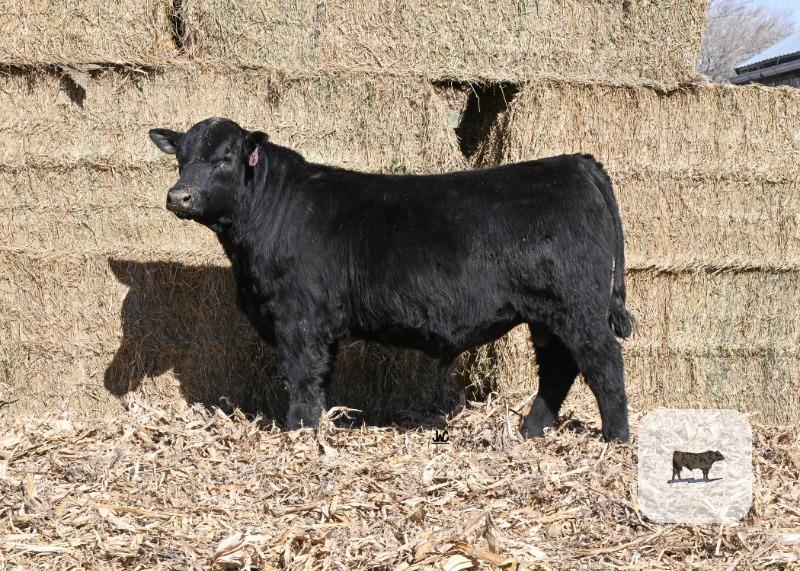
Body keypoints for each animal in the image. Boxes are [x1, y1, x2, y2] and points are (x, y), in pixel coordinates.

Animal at [148, 117, 633, 442]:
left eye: (226, 158)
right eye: (181, 159)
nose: (179, 196)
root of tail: (576, 163)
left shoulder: (298, 318)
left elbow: (302, 377)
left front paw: (298, 433)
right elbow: (320, 379)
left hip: (576, 306)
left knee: (603, 362)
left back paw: (616, 438)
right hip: (547, 314)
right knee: (558, 368)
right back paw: (531, 432)